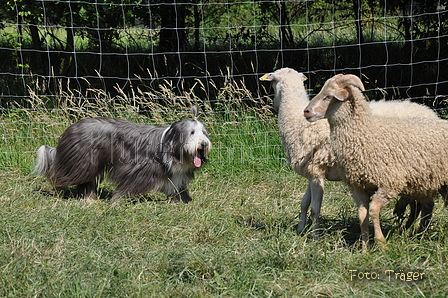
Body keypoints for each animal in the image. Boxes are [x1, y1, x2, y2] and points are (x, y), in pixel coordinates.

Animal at [33, 107, 212, 203]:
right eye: (192, 132)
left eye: (204, 133)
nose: (204, 144)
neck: (169, 143)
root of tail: (71, 127)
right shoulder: (138, 170)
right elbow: (128, 185)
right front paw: (117, 200)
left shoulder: (175, 175)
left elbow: (177, 188)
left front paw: (184, 201)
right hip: (81, 163)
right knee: (58, 174)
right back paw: (57, 191)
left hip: (90, 165)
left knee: (86, 182)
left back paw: (89, 199)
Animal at [260, 68, 438, 236]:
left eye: (272, 82)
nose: (273, 105)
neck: (297, 121)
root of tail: (431, 113)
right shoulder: (313, 172)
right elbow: (304, 203)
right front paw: (300, 230)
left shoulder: (316, 173)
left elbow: (315, 209)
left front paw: (314, 235)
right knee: (418, 204)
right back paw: (408, 228)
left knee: (426, 205)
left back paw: (418, 232)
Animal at [304, 73, 448, 248]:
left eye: (329, 96)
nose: (306, 111)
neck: (365, 133)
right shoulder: (359, 186)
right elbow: (362, 215)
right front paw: (364, 247)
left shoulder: (390, 183)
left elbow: (373, 210)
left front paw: (381, 242)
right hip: (427, 182)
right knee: (427, 206)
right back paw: (418, 234)